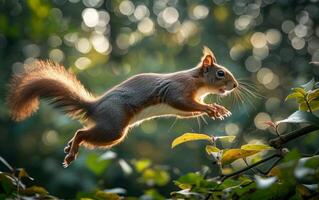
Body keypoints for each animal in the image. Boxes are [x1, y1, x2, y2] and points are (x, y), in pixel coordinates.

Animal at [7, 46, 239, 167]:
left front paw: (215, 110)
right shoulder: (177, 89)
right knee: (82, 132)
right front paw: (212, 108)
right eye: (220, 73)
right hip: (113, 127)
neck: (198, 83)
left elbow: (188, 111)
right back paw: (72, 151)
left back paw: (69, 146)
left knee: (82, 131)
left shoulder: (184, 105)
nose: (235, 85)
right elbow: (182, 102)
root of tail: (94, 106)